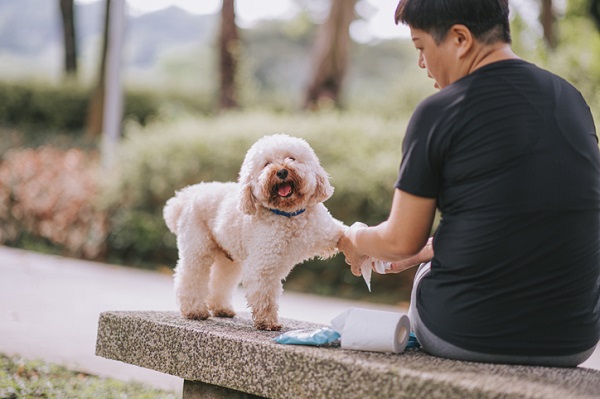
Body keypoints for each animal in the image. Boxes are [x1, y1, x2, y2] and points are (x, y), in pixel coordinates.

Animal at [163, 134, 346, 332]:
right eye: (266, 164)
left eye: (291, 158)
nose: (282, 172)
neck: (288, 215)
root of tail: (187, 195)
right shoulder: (264, 265)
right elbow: (265, 296)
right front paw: (267, 322)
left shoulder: (324, 231)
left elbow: (341, 234)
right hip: (197, 249)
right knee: (190, 277)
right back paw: (194, 310)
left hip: (229, 258)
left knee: (221, 280)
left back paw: (221, 308)